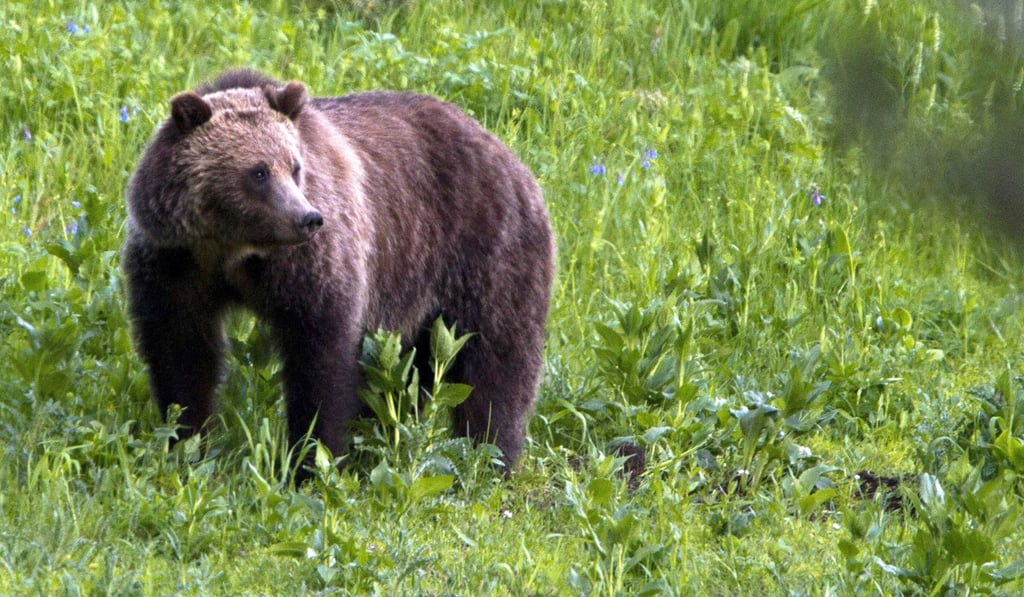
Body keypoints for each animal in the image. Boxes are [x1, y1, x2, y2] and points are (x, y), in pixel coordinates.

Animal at [122, 69, 554, 478]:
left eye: (294, 167)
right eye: (258, 172)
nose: (308, 218)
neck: (233, 251)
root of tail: (508, 154)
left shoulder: (310, 267)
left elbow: (321, 358)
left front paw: (312, 459)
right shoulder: (175, 264)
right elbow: (182, 353)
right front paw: (187, 442)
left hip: (484, 251)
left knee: (496, 360)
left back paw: (491, 455)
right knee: (412, 371)